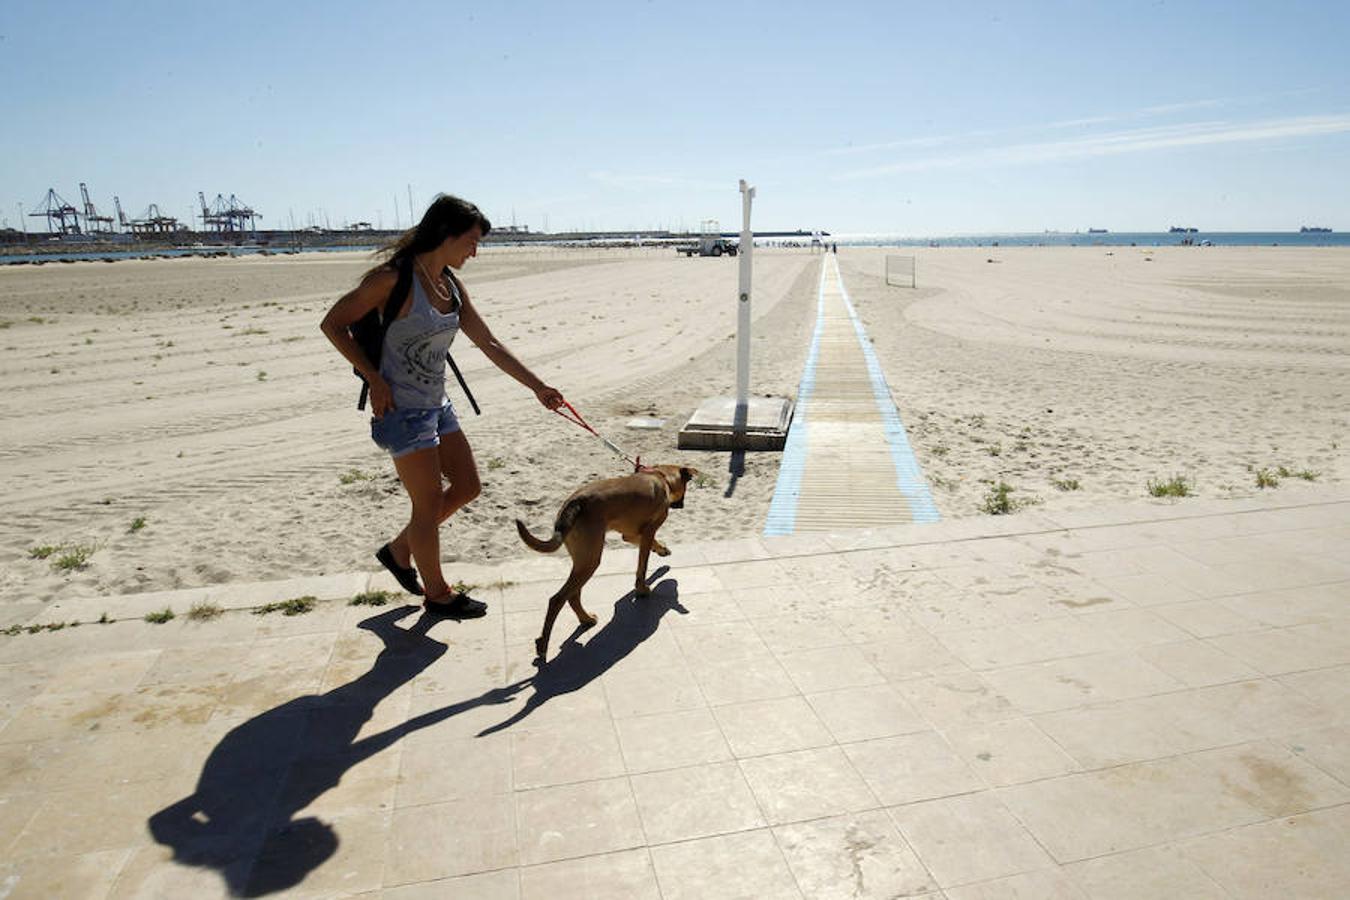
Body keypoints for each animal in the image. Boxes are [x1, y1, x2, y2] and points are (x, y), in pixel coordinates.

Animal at [513, 464, 696, 661]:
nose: (682, 505)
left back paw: (585, 619)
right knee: (557, 599)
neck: (660, 476)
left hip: (583, 561)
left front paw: (662, 551)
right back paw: (543, 644)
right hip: (590, 561)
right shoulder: (649, 530)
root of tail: (575, 502)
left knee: (573, 595)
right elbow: (643, 565)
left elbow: (649, 548)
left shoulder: (630, 535)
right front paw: (642, 589)